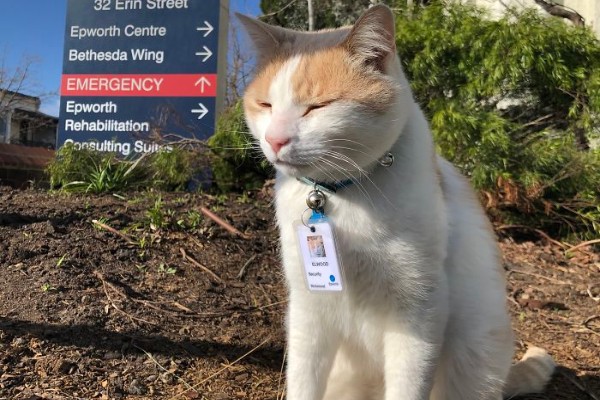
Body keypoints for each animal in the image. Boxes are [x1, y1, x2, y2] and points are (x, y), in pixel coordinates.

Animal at [238, 3, 552, 400]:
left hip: (476, 352)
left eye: (317, 106)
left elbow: (407, 385)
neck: (341, 195)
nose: (275, 139)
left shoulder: (420, 310)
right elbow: (302, 381)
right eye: (265, 104)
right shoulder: (309, 308)